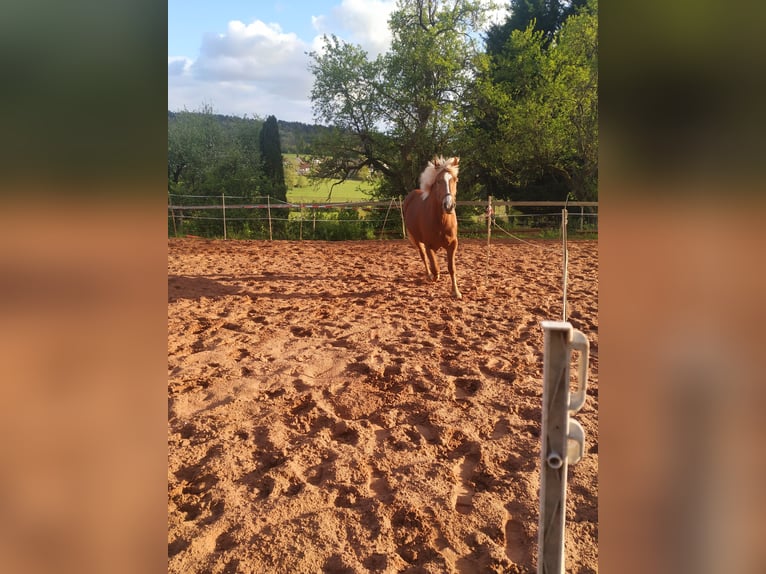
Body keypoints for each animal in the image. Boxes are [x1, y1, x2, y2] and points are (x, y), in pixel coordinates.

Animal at [404, 158, 464, 302]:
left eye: (455, 179)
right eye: (438, 181)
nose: (448, 206)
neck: (441, 220)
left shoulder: (453, 244)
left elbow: (451, 268)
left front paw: (456, 292)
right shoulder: (429, 245)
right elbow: (435, 267)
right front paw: (434, 277)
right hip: (417, 240)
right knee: (423, 257)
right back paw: (429, 275)